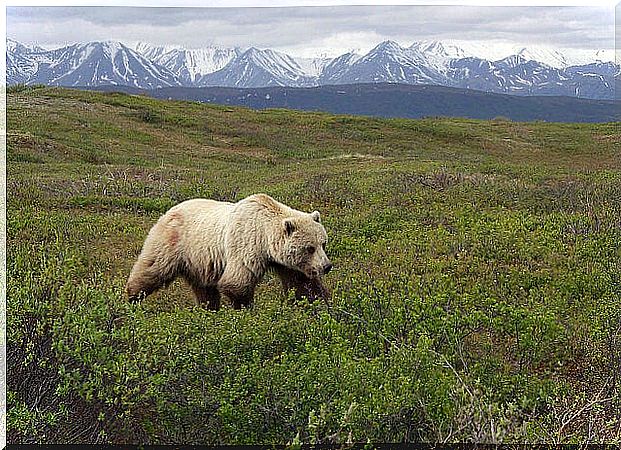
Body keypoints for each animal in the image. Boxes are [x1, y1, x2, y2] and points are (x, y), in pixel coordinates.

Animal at [123, 193, 332, 310]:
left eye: (323, 243)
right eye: (310, 247)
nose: (327, 266)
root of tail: (169, 210)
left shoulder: (287, 263)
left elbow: (303, 284)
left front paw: (319, 304)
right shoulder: (246, 244)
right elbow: (237, 282)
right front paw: (245, 309)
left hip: (200, 260)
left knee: (204, 289)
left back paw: (209, 309)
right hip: (173, 242)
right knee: (152, 269)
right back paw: (132, 298)